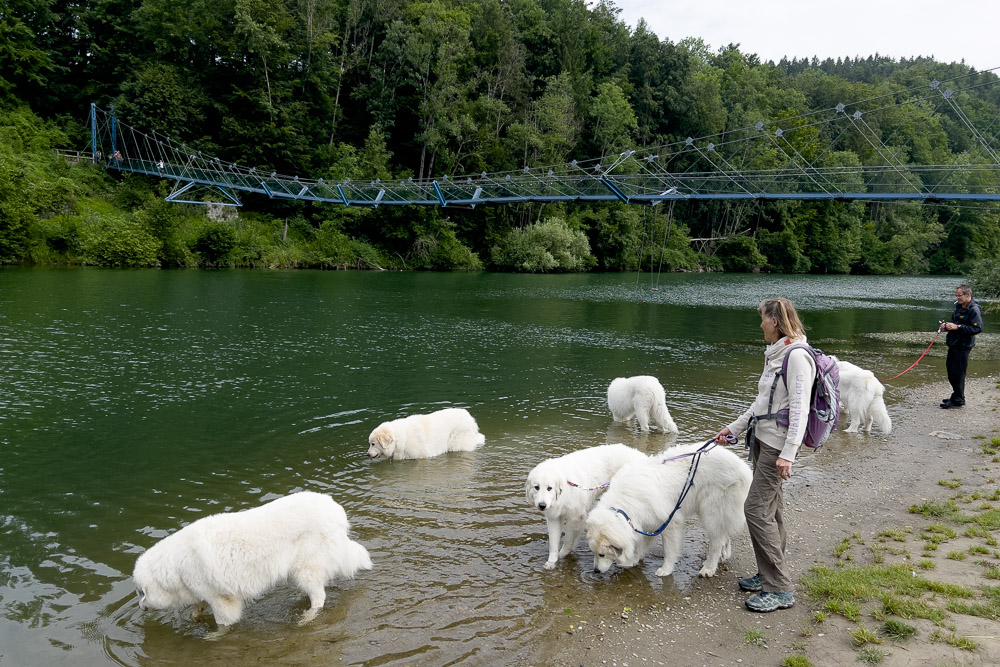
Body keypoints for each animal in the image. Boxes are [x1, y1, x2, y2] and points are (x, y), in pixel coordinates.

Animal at [129, 494, 372, 628]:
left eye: (141, 593)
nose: (140, 608)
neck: (174, 567)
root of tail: (337, 510)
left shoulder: (223, 602)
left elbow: (222, 625)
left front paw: (213, 638)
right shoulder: (205, 592)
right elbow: (198, 606)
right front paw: (196, 616)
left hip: (306, 569)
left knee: (319, 598)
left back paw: (307, 618)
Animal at [584, 440, 752, 576]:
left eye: (602, 555)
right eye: (594, 553)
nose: (596, 571)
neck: (622, 508)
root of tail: (745, 470)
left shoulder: (670, 522)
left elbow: (669, 550)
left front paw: (666, 570)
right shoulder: (648, 523)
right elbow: (640, 546)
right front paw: (631, 561)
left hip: (711, 512)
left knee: (717, 541)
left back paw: (708, 568)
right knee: (725, 534)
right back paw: (724, 555)